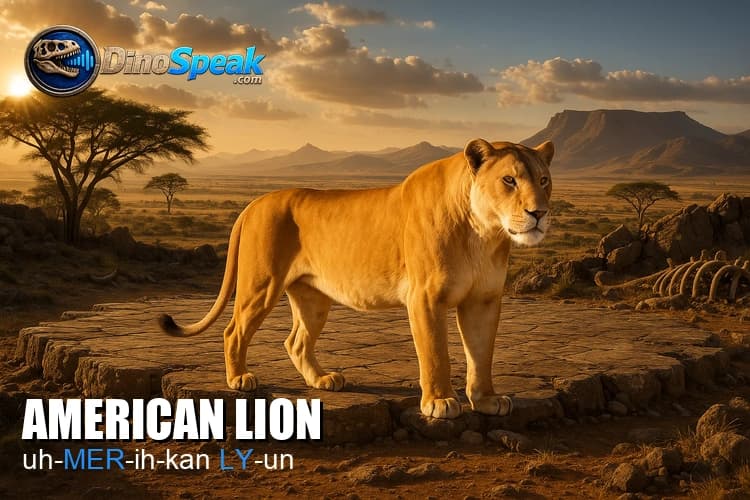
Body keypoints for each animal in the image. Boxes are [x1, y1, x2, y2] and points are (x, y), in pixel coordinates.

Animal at [159, 139, 554, 419]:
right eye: (509, 180)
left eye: (544, 180)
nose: (539, 213)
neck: (484, 233)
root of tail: (256, 201)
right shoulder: (425, 298)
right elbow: (435, 353)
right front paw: (440, 401)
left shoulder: (483, 300)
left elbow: (481, 353)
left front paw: (486, 400)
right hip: (261, 284)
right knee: (233, 330)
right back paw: (239, 379)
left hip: (313, 298)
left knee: (295, 341)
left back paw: (323, 380)